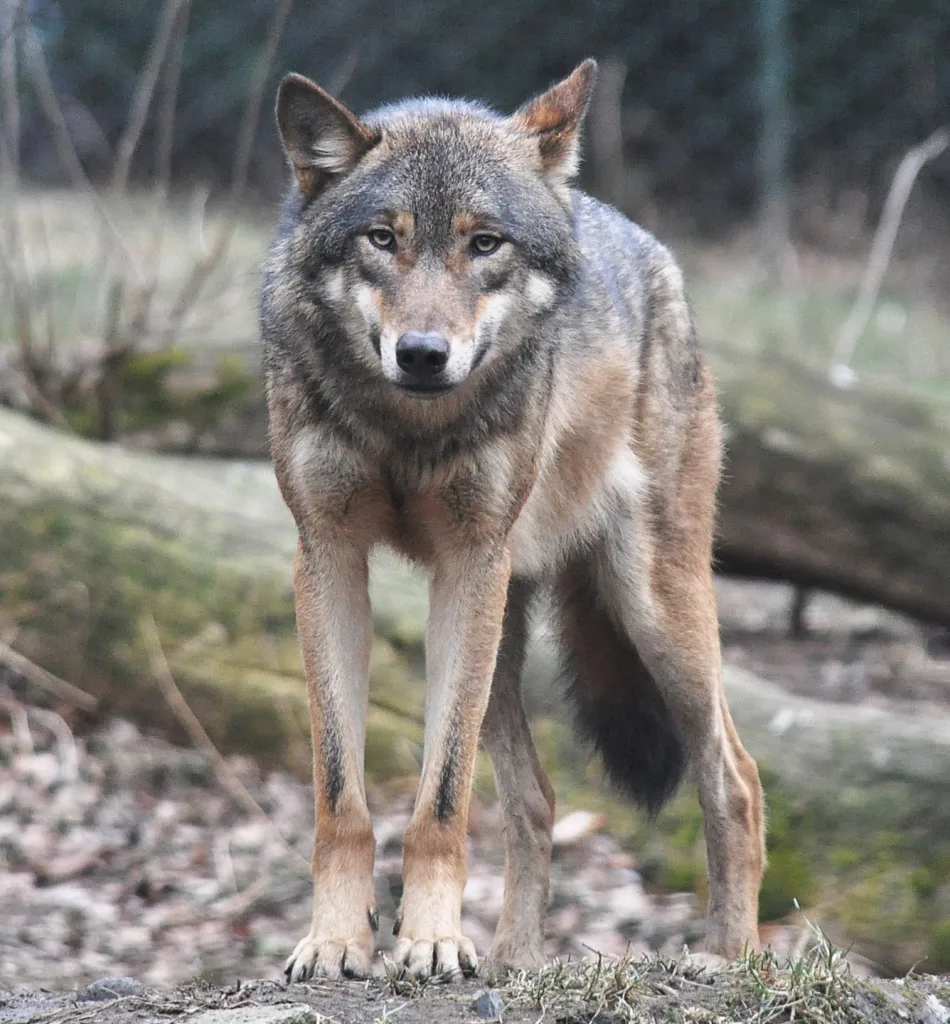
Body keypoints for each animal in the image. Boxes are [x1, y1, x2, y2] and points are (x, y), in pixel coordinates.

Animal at [261, 59, 766, 982]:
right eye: (382, 239)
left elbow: (441, 799)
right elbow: (341, 796)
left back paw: (731, 957)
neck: (409, 430)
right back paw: (515, 963)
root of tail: (645, 245)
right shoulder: (327, 558)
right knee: (537, 798)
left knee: (734, 776)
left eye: (484, 243)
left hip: (646, 609)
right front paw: (337, 941)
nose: (423, 354)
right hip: (499, 632)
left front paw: (428, 941)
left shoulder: (469, 562)